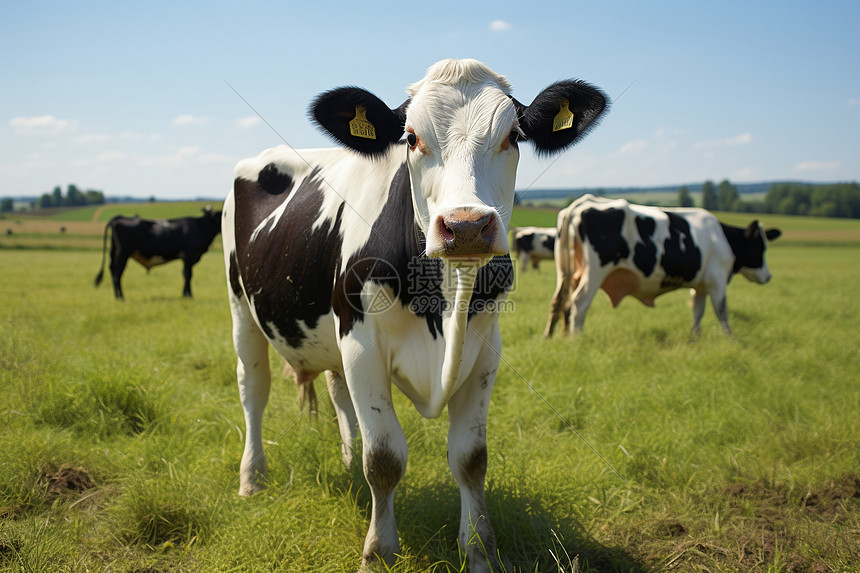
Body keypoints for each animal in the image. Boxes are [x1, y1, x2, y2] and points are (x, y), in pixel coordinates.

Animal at [93, 208, 222, 302]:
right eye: (220, 216)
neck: (199, 227)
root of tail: (118, 218)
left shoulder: (187, 258)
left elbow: (185, 274)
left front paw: (185, 295)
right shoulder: (189, 256)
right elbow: (188, 275)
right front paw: (188, 295)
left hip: (115, 253)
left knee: (112, 270)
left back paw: (117, 296)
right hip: (123, 253)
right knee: (117, 273)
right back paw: (120, 297)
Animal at [225, 59, 608, 572]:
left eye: (513, 136)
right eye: (410, 137)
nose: (466, 225)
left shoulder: (485, 353)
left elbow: (471, 458)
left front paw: (480, 549)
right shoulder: (361, 346)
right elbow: (385, 457)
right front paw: (378, 552)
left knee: (335, 390)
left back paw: (345, 461)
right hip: (242, 308)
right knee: (254, 390)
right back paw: (253, 478)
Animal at [544, 193, 780, 336]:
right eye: (761, 247)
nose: (768, 276)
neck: (721, 238)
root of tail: (581, 204)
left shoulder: (701, 285)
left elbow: (698, 311)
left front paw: (695, 337)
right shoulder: (717, 280)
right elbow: (721, 311)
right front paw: (731, 338)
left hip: (567, 272)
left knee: (560, 301)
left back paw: (554, 336)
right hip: (594, 272)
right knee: (578, 304)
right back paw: (577, 340)